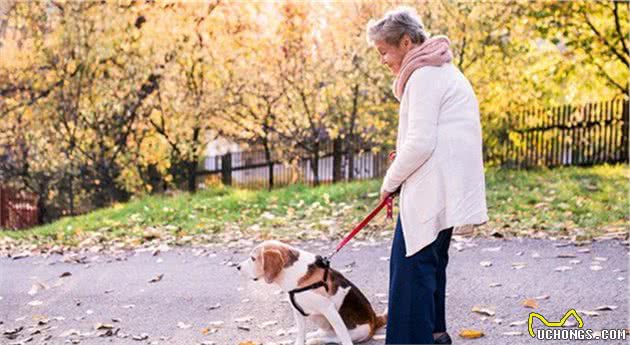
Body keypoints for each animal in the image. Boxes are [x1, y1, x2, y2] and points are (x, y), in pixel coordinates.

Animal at [237, 239, 386, 344]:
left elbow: (344, 338)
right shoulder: (297, 311)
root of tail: (375, 319)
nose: (237, 266)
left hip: (357, 330)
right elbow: (300, 334)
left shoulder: (329, 310)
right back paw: (313, 335)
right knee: (325, 333)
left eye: (253, 258)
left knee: (336, 338)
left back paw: (315, 340)